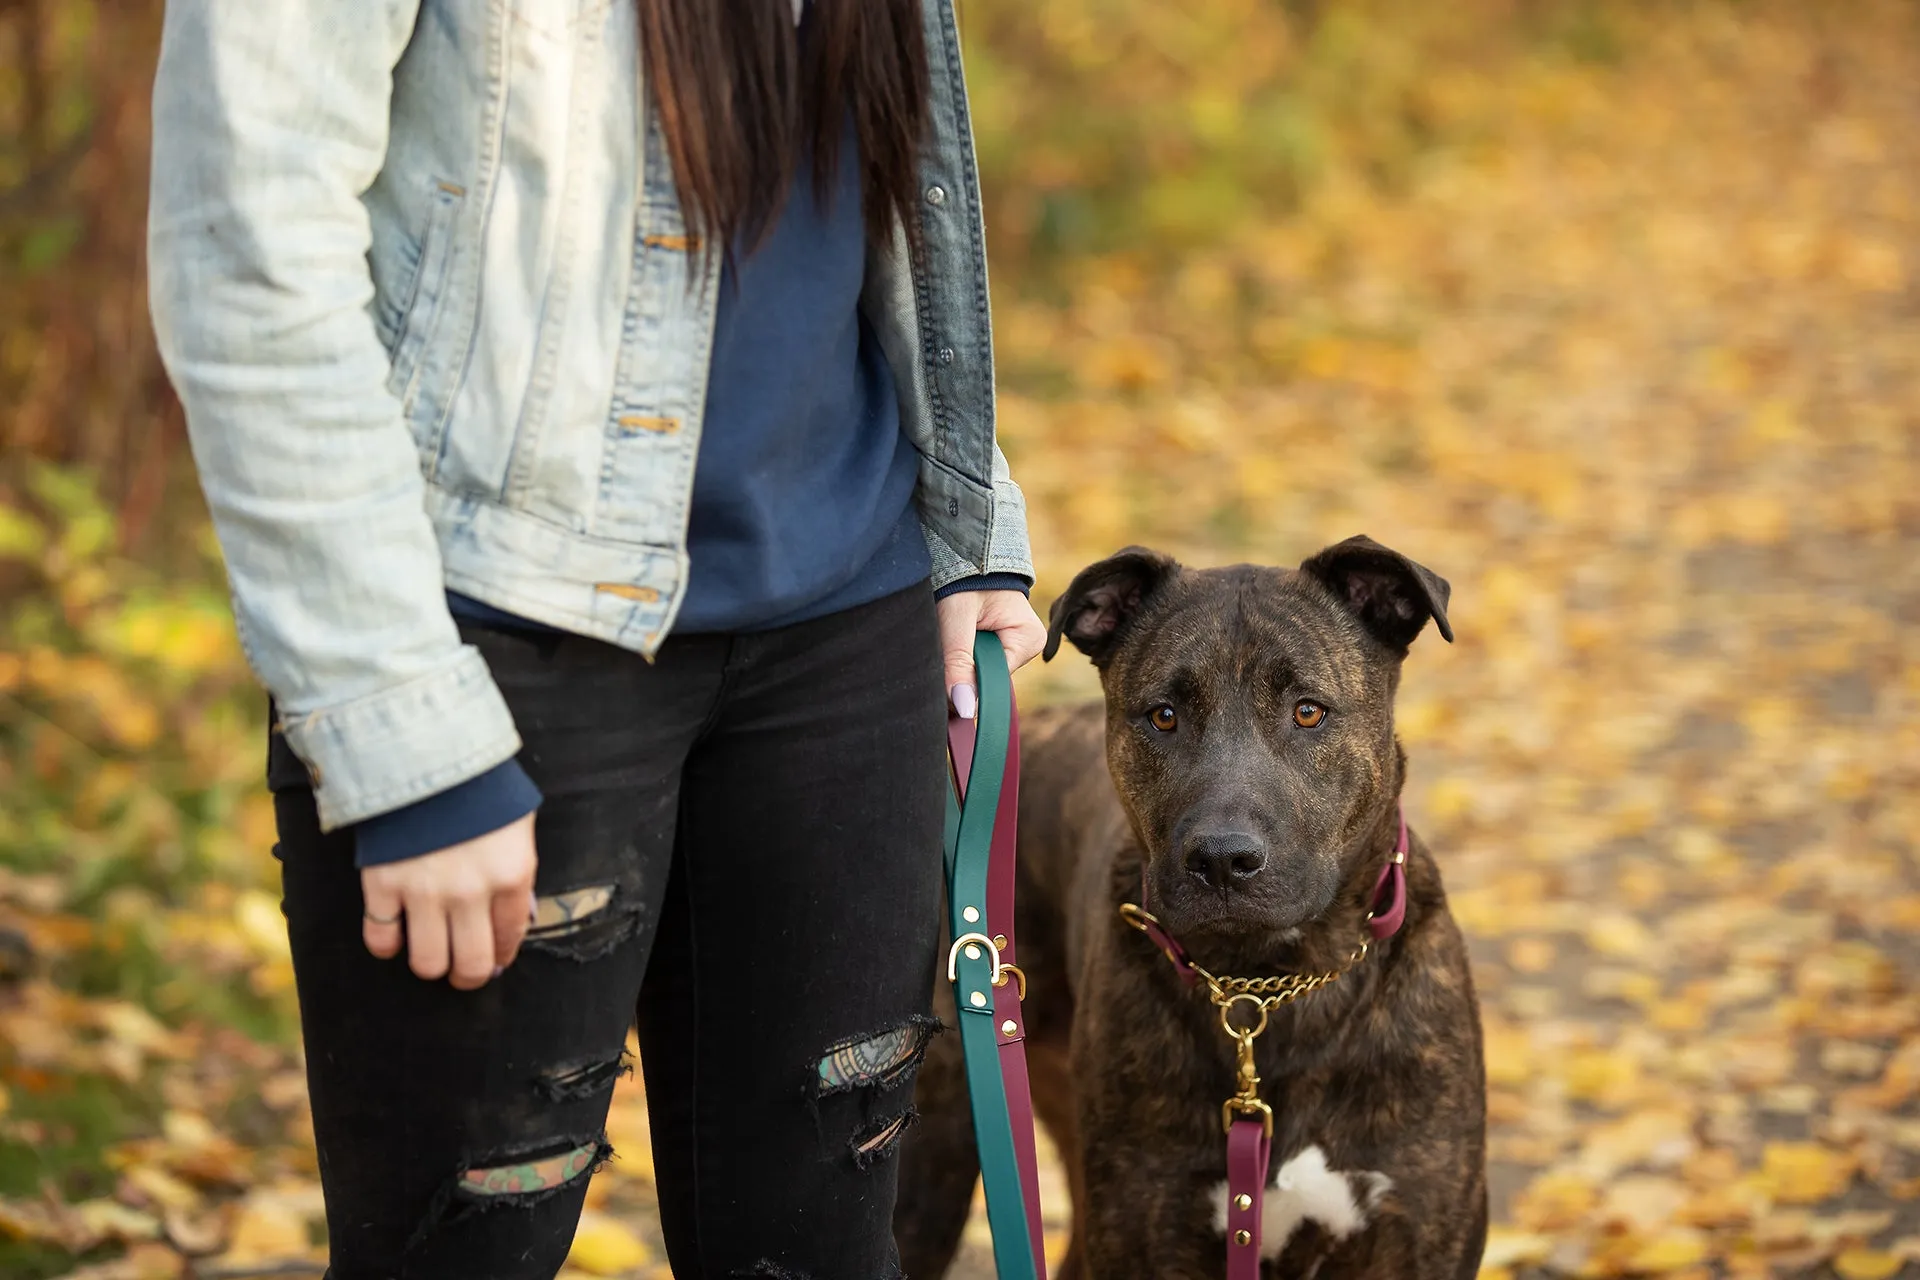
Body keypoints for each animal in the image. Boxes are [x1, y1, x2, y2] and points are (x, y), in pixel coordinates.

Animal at [894, 537, 1482, 1274]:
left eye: (1308, 711)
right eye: (1163, 715)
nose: (1223, 859)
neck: (1267, 985)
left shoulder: (1415, 1237)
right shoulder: (1147, 1224)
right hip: (942, 1151)